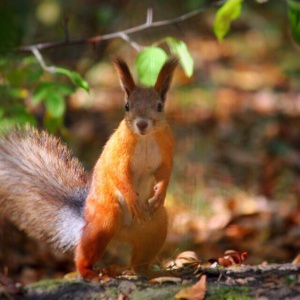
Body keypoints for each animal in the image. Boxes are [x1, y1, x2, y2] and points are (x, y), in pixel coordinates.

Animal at [0, 56, 178, 278]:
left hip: (155, 227)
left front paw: (160, 193)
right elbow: (118, 173)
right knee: (84, 251)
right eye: (127, 106)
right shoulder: (117, 152)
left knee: (139, 264)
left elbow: (165, 172)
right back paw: (88, 272)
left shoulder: (166, 148)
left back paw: (152, 273)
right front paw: (132, 198)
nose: (142, 124)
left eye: (160, 106)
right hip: (105, 219)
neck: (145, 139)